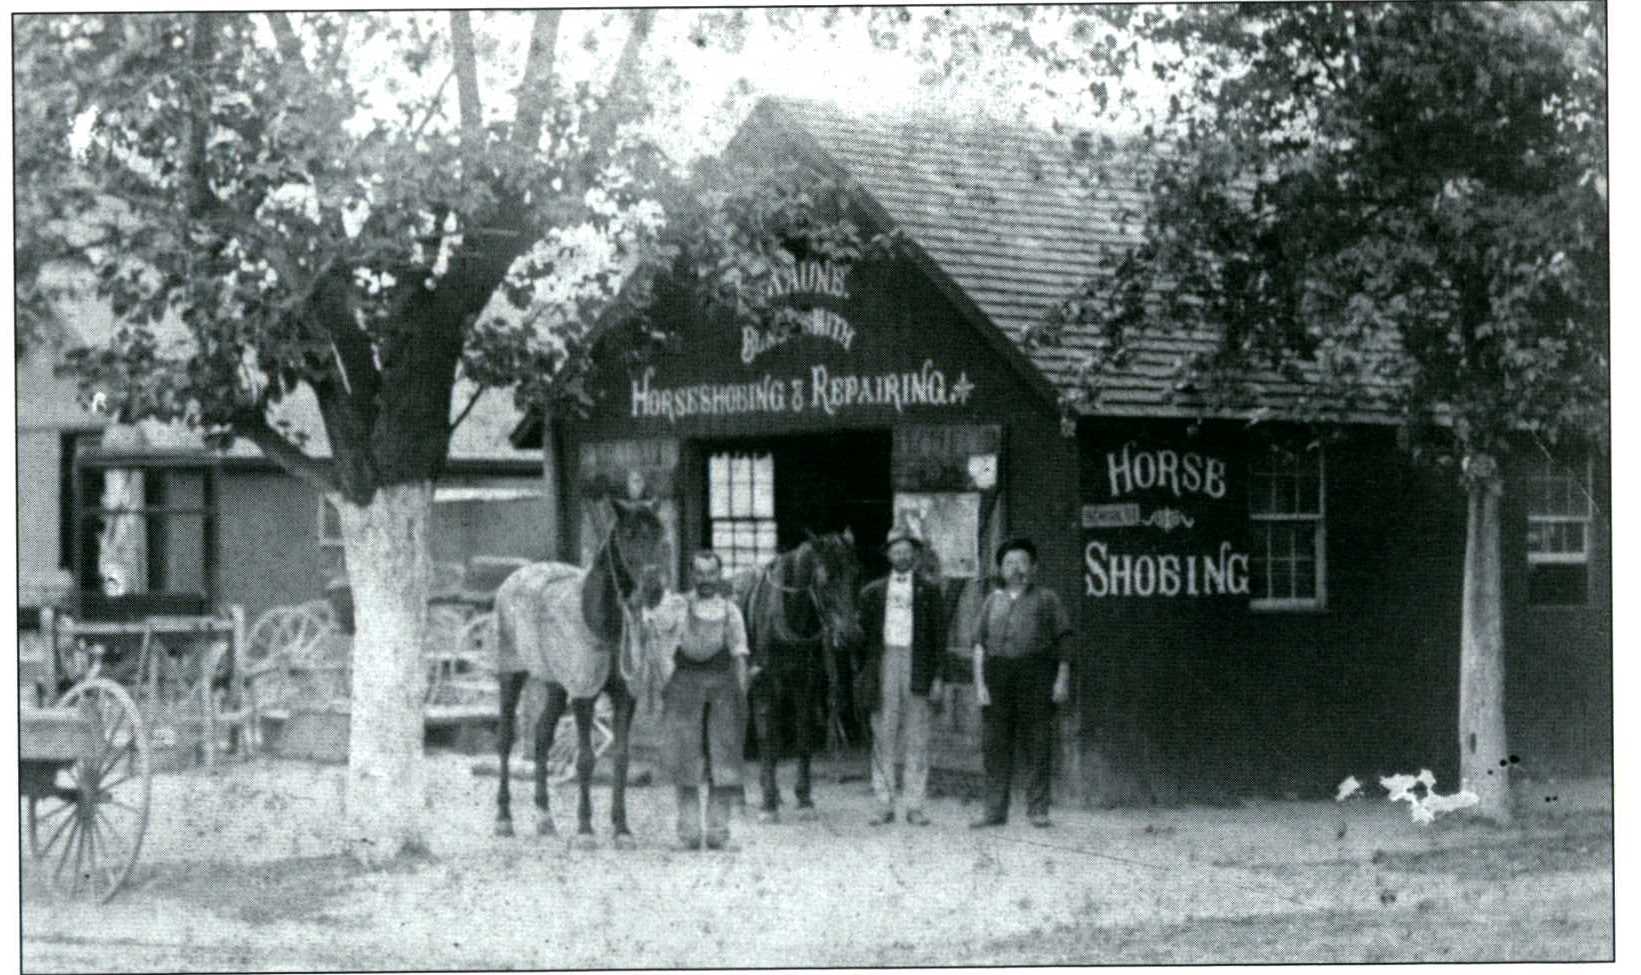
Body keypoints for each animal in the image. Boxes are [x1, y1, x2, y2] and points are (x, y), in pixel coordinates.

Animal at [489, 495, 662, 846]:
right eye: (629, 534)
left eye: (659, 533)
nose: (654, 589)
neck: (605, 624)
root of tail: (514, 577)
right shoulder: (584, 693)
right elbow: (585, 759)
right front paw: (585, 830)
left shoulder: (626, 695)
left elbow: (621, 758)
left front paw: (621, 829)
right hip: (511, 674)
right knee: (505, 740)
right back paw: (504, 819)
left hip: (556, 685)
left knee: (542, 736)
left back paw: (544, 817)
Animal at [738, 528, 866, 817]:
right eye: (826, 580)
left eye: (856, 574)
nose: (852, 636)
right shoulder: (767, 683)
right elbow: (769, 737)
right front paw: (769, 801)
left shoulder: (806, 682)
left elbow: (803, 735)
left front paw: (803, 797)